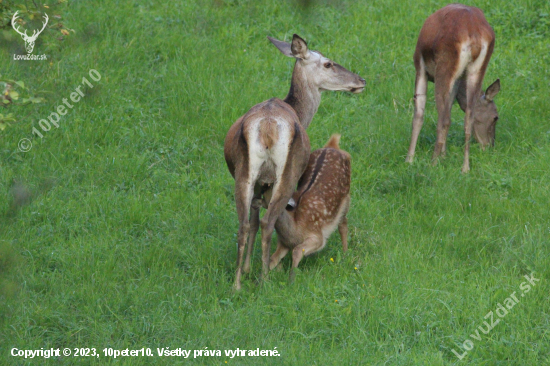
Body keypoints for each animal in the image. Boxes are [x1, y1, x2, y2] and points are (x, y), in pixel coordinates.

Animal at [268, 134, 354, 280]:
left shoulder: (317, 236)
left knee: (343, 224)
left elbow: (297, 251)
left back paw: (345, 254)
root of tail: (333, 146)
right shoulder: (284, 241)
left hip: (346, 198)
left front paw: (292, 277)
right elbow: (273, 258)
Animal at [408, 3, 502, 173]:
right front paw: (445, 156)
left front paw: (409, 160)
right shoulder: (458, 80)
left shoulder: (420, 66)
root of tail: (475, 35)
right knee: (468, 116)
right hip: (476, 70)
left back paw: (433, 163)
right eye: (495, 117)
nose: (490, 145)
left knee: (442, 118)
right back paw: (465, 168)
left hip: (445, 65)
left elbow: (418, 114)